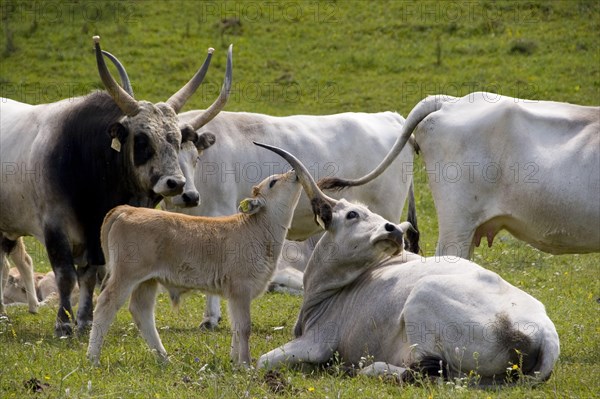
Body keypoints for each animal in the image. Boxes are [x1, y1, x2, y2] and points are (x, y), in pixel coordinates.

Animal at [0, 37, 232, 338]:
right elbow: (66, 276)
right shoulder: (54, 226)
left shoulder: (96, 235)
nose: (176, 183)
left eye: (177, 140)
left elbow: (90, 275)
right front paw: (63, 323)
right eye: (142, 140)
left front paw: (85, 321)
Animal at [258, 146, 564, 388]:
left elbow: (261, 361)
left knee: (426, 371)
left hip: (424, 299)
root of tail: (544, 333)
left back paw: (367, 369)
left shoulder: (318, 341)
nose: (392, 229)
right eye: (353, 214)